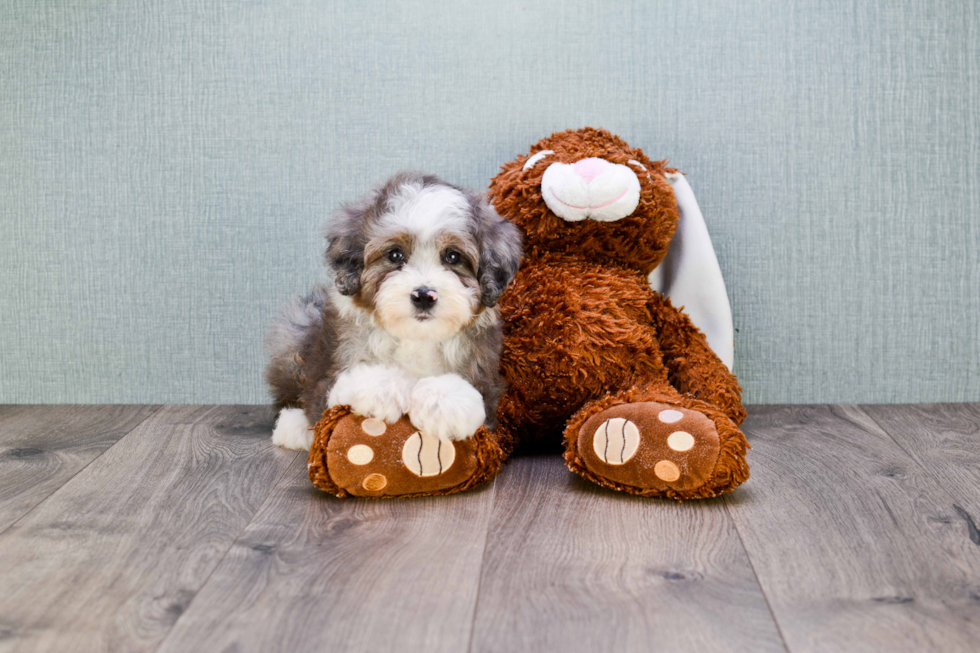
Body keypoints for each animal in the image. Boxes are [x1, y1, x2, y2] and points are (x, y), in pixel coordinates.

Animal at [260, 171, 520, 450]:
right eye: (395, 255)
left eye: (453, 257)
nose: (424, 295)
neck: (417, 337)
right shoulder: (334, 368)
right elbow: (344, 386)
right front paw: (381, 389)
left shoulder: (485, 377)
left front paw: (444, 403)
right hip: (296, 330)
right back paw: (293, 427)